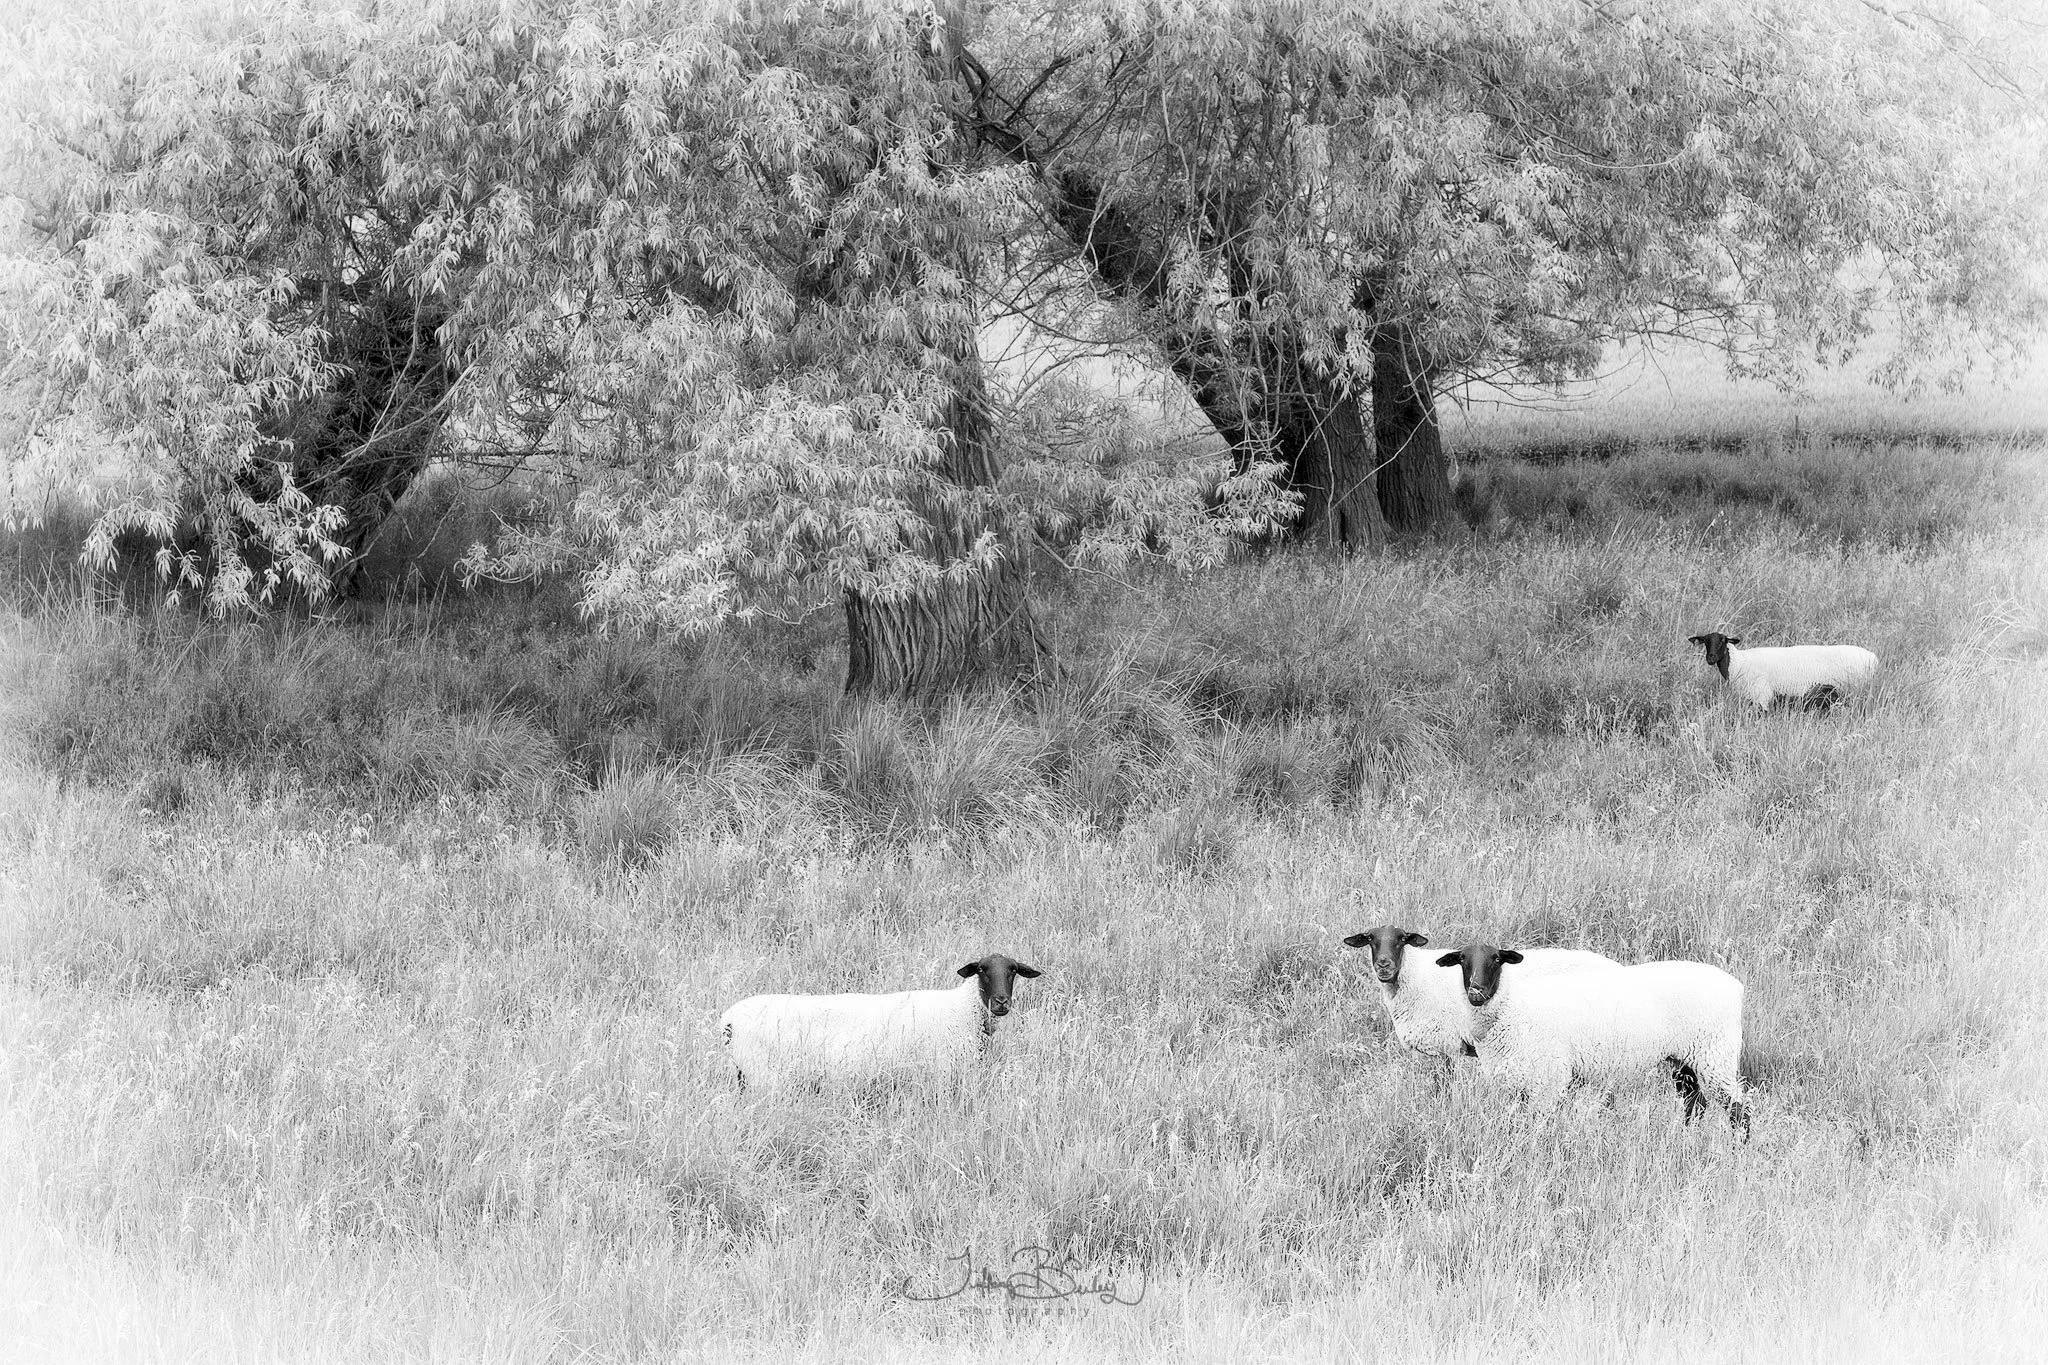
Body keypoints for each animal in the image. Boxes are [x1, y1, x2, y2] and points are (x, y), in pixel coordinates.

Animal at [718, 953, 1041, 1090]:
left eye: (1013, 970)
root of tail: (729, 1019)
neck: (962, 1008)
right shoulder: (940, 1073)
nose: (1001, 1002)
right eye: (982, 970)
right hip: (763, 1075)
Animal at [1339, 925, 1622, 1084]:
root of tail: (1616, 967)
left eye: (1402, 939)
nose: (1384, 965)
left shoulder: (1448, 1045)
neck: (1417, 976)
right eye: (1369, 939)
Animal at [1436, 942, 1750, 1138]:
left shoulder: (1549, 1077)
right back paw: (1687, 1139)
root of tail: (1735, 987)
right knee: (1694, 1103)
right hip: (1686, 1057)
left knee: (1738, 1108)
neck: (1513, 1008)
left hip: (1716, 1053)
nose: (1476, 992)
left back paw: (1739, 1150)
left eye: (1497, 959)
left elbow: (1538, 1123)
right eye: (1462, 960)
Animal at [1688, 631, 1877, 713]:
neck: (1739, 662)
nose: (1710, 658)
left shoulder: (1762, 696)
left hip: (1855, 691)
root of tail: (1873, 657)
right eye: (1705, 641)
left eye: (1723, 640)